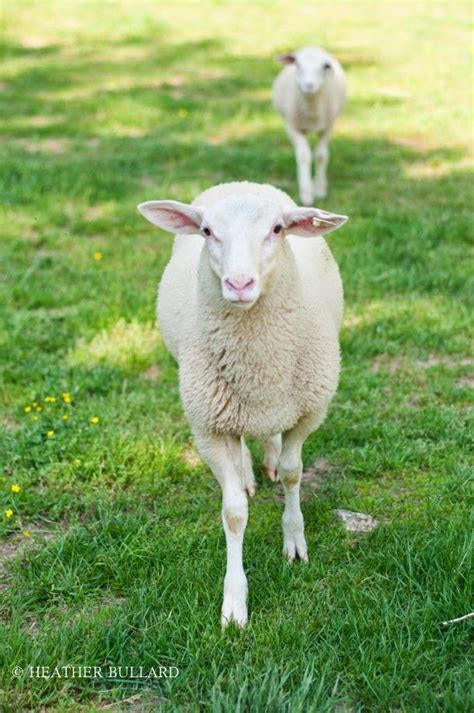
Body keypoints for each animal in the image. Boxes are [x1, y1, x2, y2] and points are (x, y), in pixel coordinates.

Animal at [137, 181, 348, 624]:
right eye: (206, 231)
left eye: (277, 229)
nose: (238, 284)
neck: (258, 369)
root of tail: (241, 183)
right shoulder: (207, 428)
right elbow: (233, 513)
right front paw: (234, 601)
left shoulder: (309, 412)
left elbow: (293, 473)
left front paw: (295, 541)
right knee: (240, 450)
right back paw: (248, 472)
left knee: (271, 439)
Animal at [272, 47, 346, 203]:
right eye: (297, 65)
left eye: (325, 66)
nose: (309, 86)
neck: (312, 115)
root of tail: (312, 47)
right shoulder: (293, 127)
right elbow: (304, 156)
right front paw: (306, 194)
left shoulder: (328, 127)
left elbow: (321, 156)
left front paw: (319, 189)